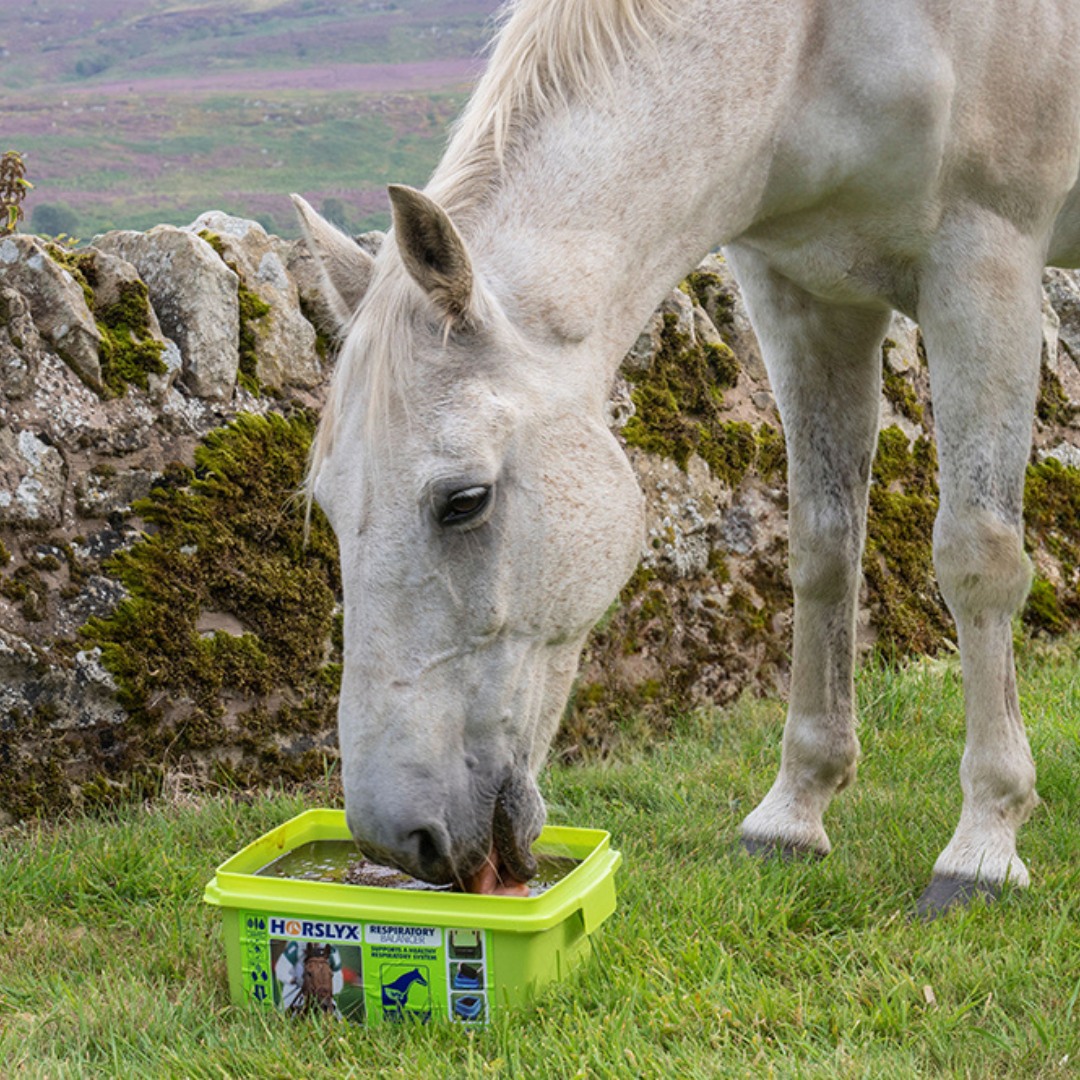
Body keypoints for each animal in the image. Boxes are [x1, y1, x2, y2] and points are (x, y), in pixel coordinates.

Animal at [295, 0, 1080, 915]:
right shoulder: (802, 293)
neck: (809, 43)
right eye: (329, 509)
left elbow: (977, 559)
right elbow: (823, 550)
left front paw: (985, 842)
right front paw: (794, 812)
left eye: (464, 500)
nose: (400, 840)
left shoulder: (985, 272)